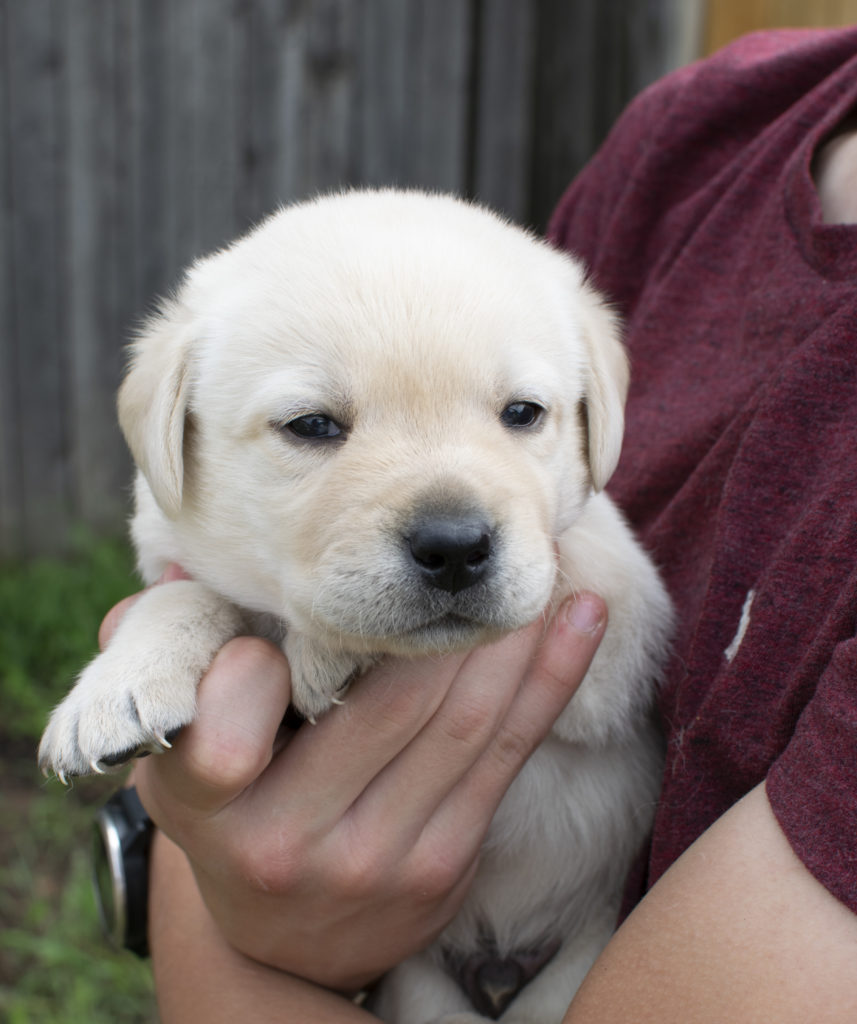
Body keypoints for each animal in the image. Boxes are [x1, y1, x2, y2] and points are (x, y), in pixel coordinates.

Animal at [38, 192, 667, 1024]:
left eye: (523, 413)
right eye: (311, 425)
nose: (455, 546)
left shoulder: (619, 641)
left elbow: (564, 562)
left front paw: (330, 648)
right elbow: (186, 590)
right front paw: (119, 686)